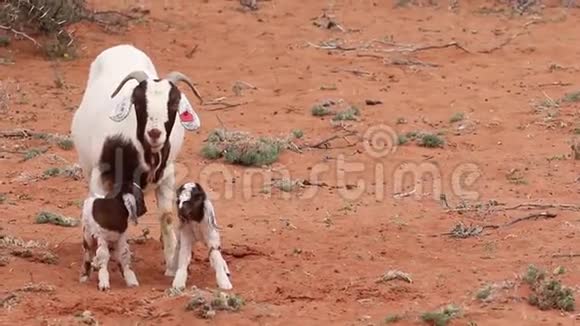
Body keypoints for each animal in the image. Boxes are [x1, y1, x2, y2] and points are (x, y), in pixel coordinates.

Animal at [71, 44, 203, 276]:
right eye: (139, 102)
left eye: (174, 103)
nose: (155, 133)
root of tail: (122, 47)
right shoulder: (100, 176)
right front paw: (97, 261)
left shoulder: (166, 176)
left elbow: (167, 217)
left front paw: (171, 265)